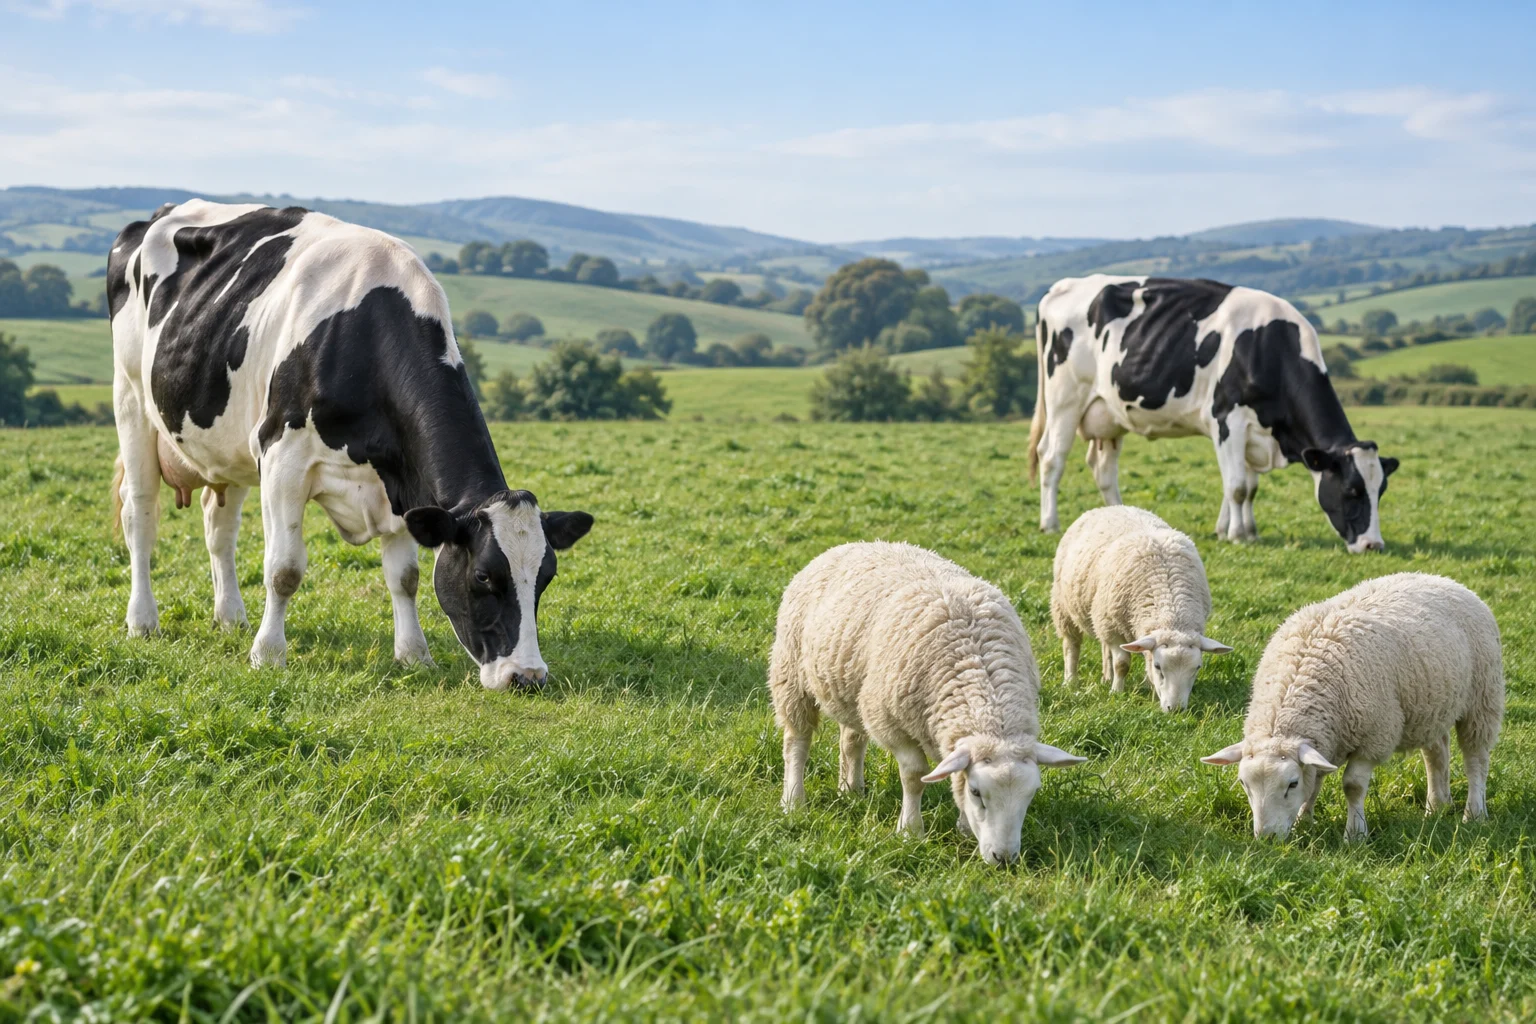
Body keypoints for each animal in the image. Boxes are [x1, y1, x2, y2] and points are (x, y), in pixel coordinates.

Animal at [107, 199, 593, 688]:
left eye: (546, 577)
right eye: (482, 576)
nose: (527, 676)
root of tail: (161, 212)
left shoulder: (400, 479)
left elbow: (406, 576)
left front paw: (414, 654)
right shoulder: (281, 457)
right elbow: (284, 569)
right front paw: (268, 654)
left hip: (228, 442)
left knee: (218, 526)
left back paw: (231, 618)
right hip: (131, 398)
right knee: (140, 514)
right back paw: (143, 621)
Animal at [770, 541, 1086, 865]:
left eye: (1031, 793)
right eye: (976, 792)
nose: (1004, 858)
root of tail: (854, 544)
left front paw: (963, 826)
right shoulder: (888, 722)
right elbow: (914, 776)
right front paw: (910, 831)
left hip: (851, 690)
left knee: (851, 741)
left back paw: (852, 790)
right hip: (792, 675)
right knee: (796, 743)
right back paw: (793, 801)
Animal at [1027, 275, 1397, 553]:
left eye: (1381, 491)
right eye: (1351, 490)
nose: (1373, 545)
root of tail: (1061, 286)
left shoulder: (1255, 432)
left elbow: (1248, 487)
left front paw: (1242, 530)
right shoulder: (1228, 419)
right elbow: (1236, 486)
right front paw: (1235, 535)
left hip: (1109, 414)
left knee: (1103, 469)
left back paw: (1120, 518)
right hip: (1064, 398)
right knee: (1052, 457)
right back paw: (1049, 523)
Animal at [1051, 505, 1231, 712]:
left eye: (1197, 668)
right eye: (1159, 667)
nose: (1176, 709)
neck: (1171, 612)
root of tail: (1108, 507)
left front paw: (1147, 687)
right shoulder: (1114, 627)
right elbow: (1122, 664)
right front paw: (1116, 692)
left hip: (1099, 616)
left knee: (1104, 646)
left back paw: (1106, 677)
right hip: (1064, 606)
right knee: (1071, 645)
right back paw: (1071, 681)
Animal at [1202, 572, 1503, 840]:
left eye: (1291, 784)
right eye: (1244, 784)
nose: (1266, 838)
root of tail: (1444, 579)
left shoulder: (1373, 738)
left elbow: (1353, 786)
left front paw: (1355, 835)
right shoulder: (1324, 743)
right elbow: (1316, 783)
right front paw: (1303, 822)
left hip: (1483, 698)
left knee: (1476, 759)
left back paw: (1474, 814)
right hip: (1431, 704)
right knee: (1436, 752)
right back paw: (1437, 806)